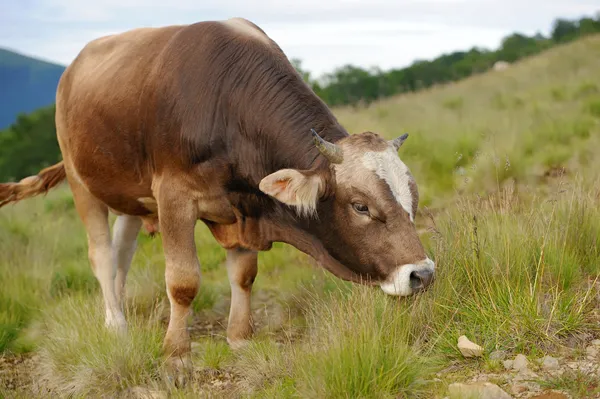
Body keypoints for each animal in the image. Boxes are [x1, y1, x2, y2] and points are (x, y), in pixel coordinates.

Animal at [0, 17, 436, 376]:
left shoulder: (244, 204)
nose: (423, 274)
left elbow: (243, 275)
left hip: (131, 197)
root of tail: (72, 68)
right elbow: (182, 281)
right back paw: (116, 326)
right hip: (82, 182)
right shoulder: (173, 196)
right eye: (361, 206)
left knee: (123, 254)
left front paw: (240, 338)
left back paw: (120, 313)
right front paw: (176, 356)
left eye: (412, 200)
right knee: (103, 257)